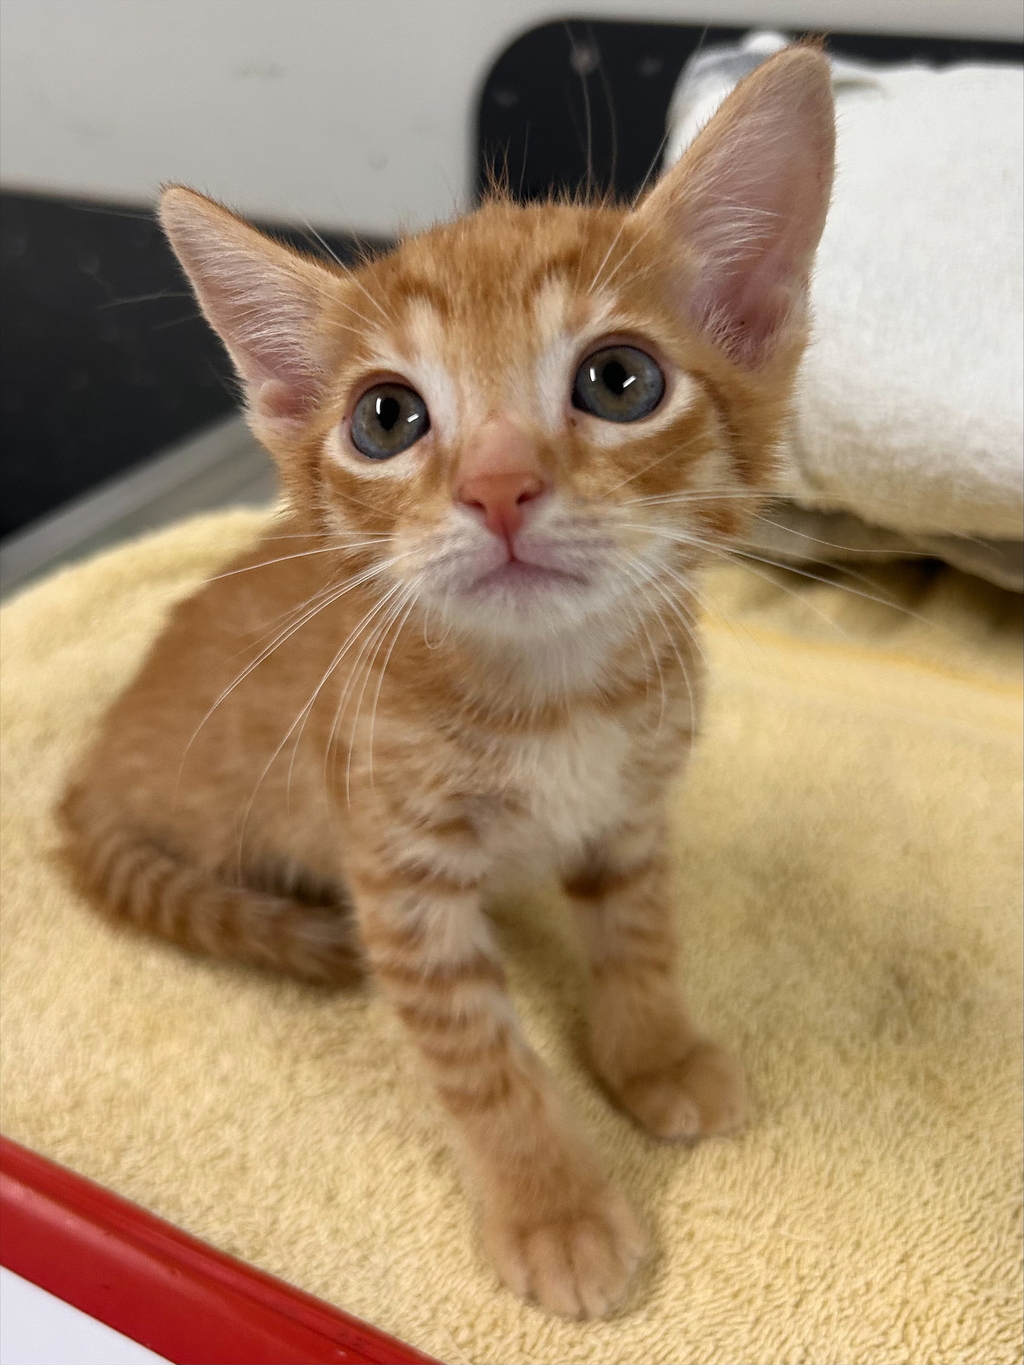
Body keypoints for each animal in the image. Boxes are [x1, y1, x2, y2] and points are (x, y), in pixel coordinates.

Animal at [59, 47, 835, 1318]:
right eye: (387, 418)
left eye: (620, 381)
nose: (498, 485)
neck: (557, 697)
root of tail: (82, 777)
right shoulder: (397, 875)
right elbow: (481, 1061)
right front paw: (552, 1209)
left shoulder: (632, 810)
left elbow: (641, 933)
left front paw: (654, 1052)